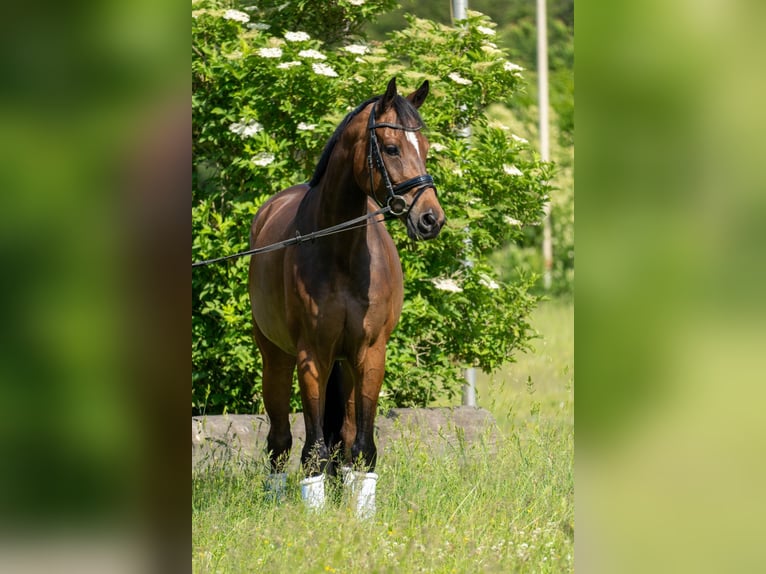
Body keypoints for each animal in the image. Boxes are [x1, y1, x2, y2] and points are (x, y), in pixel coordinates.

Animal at [249, 77, 448, 490]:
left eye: (425, 149)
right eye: (391, 148)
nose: (431, 219)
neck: (340, 251)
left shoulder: (370, 353)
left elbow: (362, 447)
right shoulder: (311, 356)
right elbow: (314, 452)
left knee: (343, 434)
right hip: (276, 356)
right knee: (280, 440)